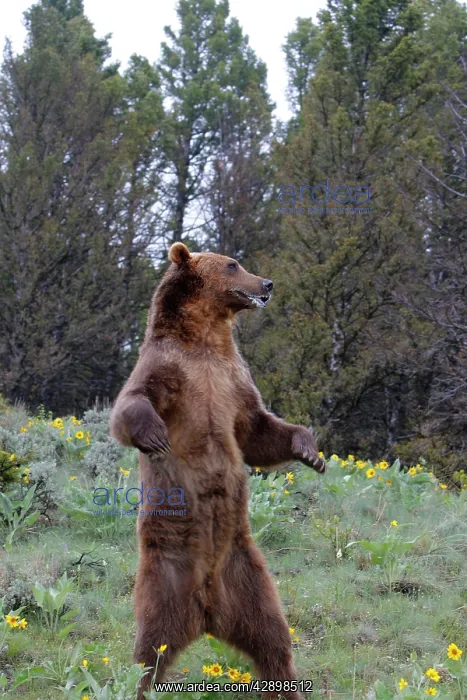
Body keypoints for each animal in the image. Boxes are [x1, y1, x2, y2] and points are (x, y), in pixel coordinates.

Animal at [110, 242, 326, 700]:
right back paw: (138, 683)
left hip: (249, 577)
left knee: (273, 638)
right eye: (232, 264)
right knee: (150, 650)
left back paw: (289, 686)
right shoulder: (169, 369)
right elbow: (133, 402)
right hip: (165, 576)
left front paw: (310, 451)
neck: (206, 339)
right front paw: (154, 435)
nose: (267, 283)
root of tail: (207, 612)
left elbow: (257, 430)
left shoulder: (233, 380)